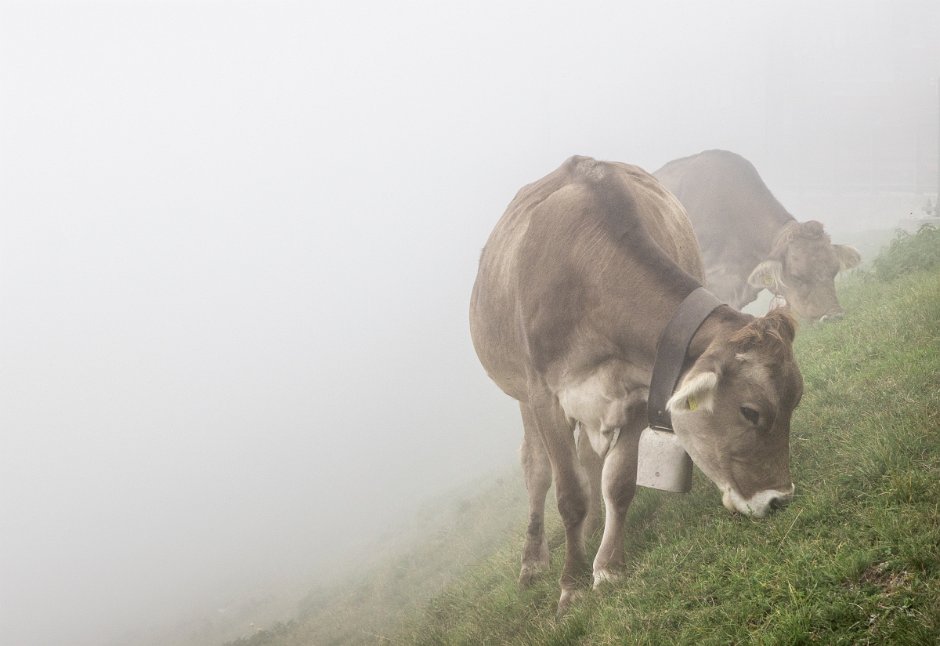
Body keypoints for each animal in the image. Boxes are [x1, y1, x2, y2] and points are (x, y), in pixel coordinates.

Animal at [470, 157, 800, 616]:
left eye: (796, 402)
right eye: (750, 412)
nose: (778, 499)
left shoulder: (642, 390)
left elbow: (619, 483)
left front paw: (608, 567)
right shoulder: (545, 396)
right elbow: (569, 494)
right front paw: (570, 586)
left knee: (589, 461)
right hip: (522, 393)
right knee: (536, 470)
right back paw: (533, 563)